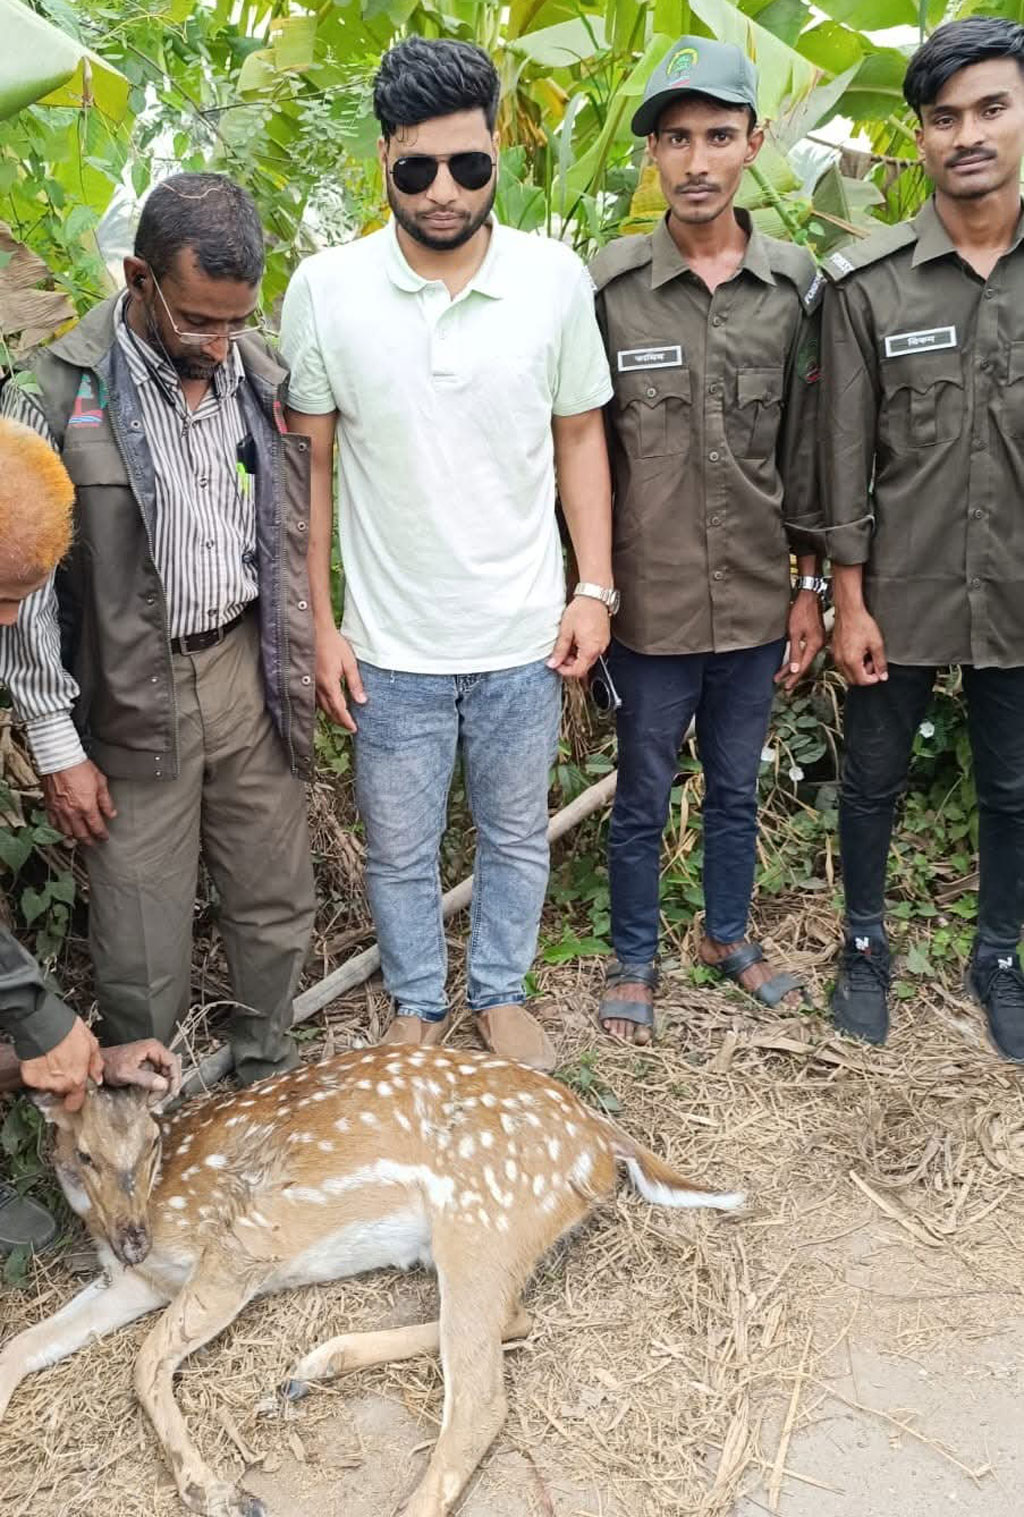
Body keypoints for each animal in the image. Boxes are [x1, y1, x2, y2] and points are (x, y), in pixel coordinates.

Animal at [0, 1043, 737, 1517]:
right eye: (82, 1153)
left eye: (151, 1143)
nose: (133, 1238)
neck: (157, 1203)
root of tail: (602, 1137)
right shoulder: (137, 1281)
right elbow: (25, 1344)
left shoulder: (241, 1249)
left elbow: (146, 1362)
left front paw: (216, 1492)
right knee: (513, 1321)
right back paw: (310, 1369)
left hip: (481, 1214)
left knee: (481, 1398)